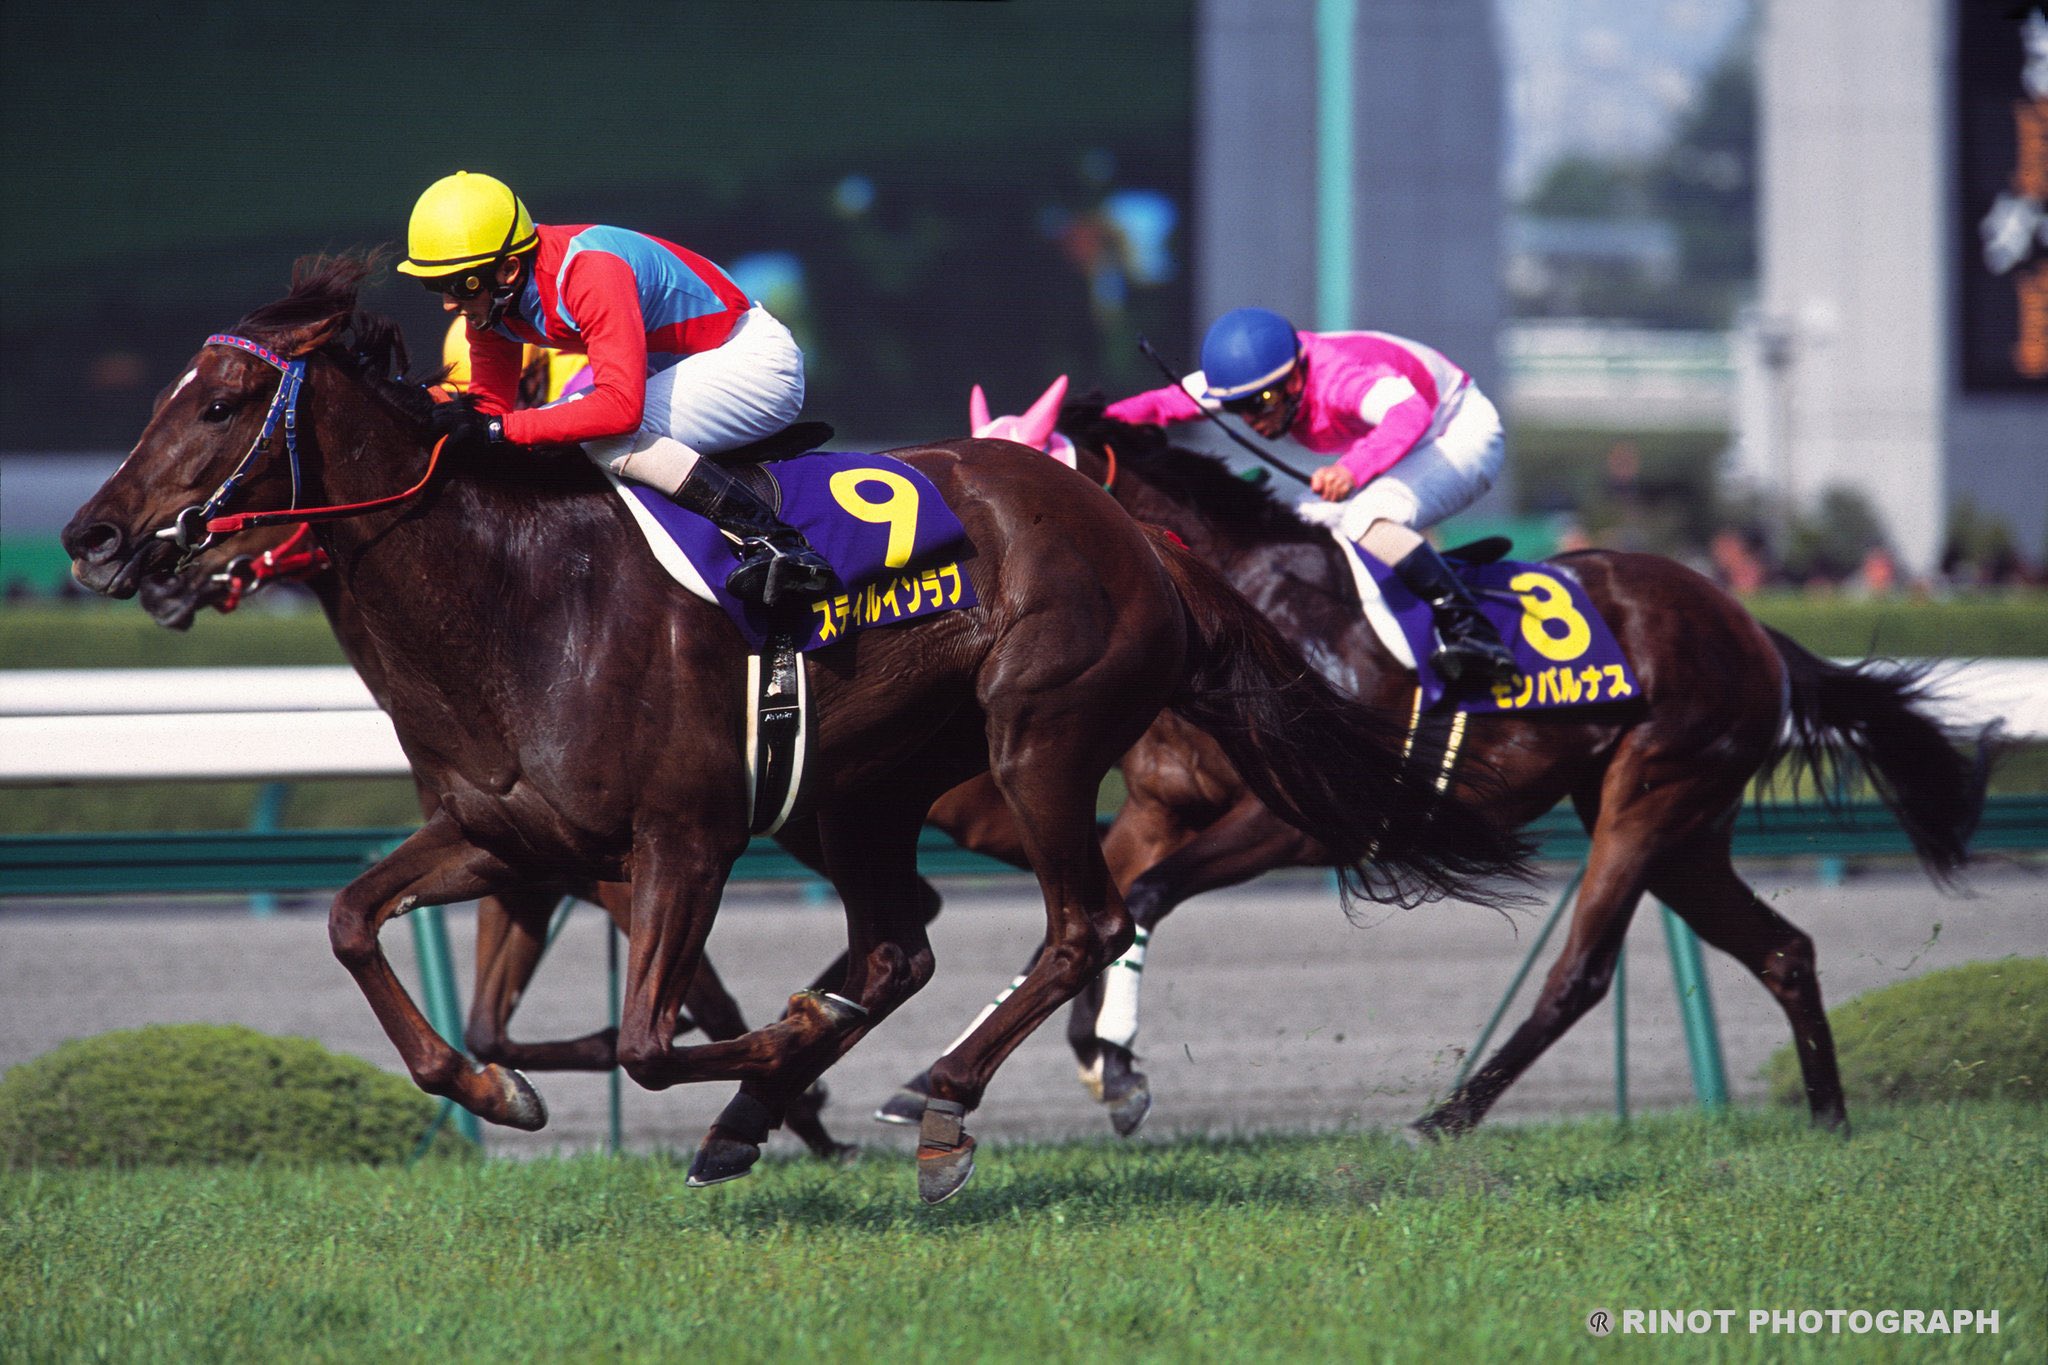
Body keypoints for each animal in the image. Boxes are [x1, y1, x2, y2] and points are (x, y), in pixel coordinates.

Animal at [63, 256, 1526, 1201]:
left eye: (217, 404)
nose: (94, 539)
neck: (521, 597)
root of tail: (1139, 541)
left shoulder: (685, 837)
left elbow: (655, 1037)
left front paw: (776, 1070)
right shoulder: (503, 835)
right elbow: (367, 934)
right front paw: (505, 1091)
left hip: (1037, 737)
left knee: (1081, 920)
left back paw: (932, 1100)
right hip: (863, 792)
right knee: (900, 946)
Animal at [878, 388, 1993, 1142]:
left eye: (1029, 463)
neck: (1247, 600)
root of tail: (1752, 627)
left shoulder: (1299, 817)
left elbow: (1138, 896)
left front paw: (1105, 1063)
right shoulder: (1158, 802)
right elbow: (1099, 901)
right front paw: (1096, 1060)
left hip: (1649, 796)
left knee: (1580, 973)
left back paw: (1445, 1117)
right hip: (1686, 832)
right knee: (1783, 951)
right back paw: (1826, 1117)